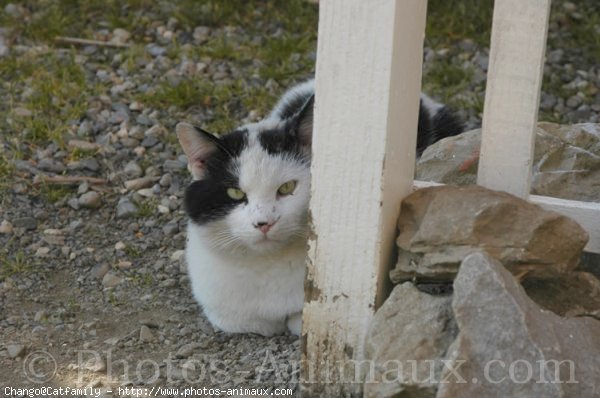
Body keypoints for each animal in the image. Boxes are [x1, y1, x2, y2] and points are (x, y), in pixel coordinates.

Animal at [176, 79, 462, 338]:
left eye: (287, 187)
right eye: (235, 193)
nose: (264, 223)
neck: (267, 266)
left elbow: (296, 320)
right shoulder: (219, 305)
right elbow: (246, 322)